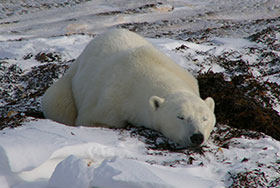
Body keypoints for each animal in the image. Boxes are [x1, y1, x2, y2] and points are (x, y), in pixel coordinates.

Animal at [42, 28, 217, 148]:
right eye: (180, 117)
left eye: (204, 118)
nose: (197, 137)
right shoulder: (111, 98)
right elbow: (92, 118)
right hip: (69, 84)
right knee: (57, 102)